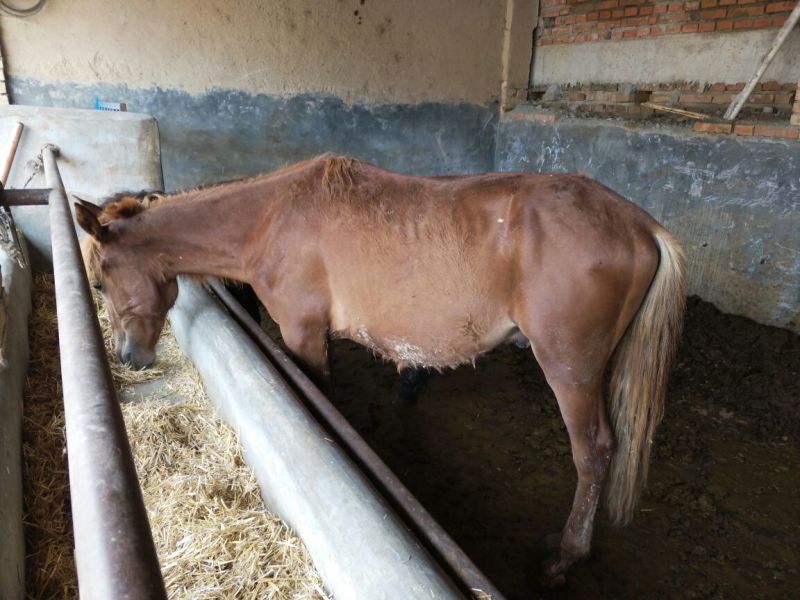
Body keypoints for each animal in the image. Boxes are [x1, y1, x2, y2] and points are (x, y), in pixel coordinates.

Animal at [78, 155, 686, 585]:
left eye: (101, 282)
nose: (129, 357)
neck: (269, 220)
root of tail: (640, 225)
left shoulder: (303, 334)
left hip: (570, 369)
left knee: (595, 452)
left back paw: (566, 555)